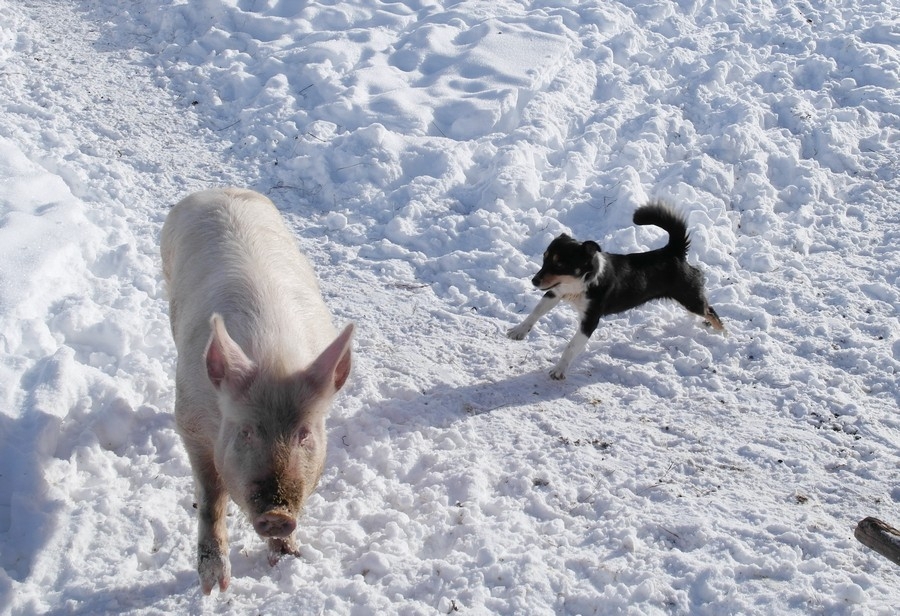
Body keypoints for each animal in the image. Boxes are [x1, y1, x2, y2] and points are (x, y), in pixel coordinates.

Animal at [160, 188, 354, 592]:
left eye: (304, 433)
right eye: (246, 431)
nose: (277, 513)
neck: (273, 357)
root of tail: (217, 190)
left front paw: (289, 557)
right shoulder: (188, 420)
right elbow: (211, 496)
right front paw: (214, 587)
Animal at [506, 200, 724, 378]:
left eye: (559, 264)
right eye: (545, 259)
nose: (534, 281)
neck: (580, 283)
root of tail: (674, 251)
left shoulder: (590, 320)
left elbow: (571, 346)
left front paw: (559, 370)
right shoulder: (554, 292)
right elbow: (535, 312)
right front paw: (518, 331)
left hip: (690, 297)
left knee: (710, 311)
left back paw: (722, 334)